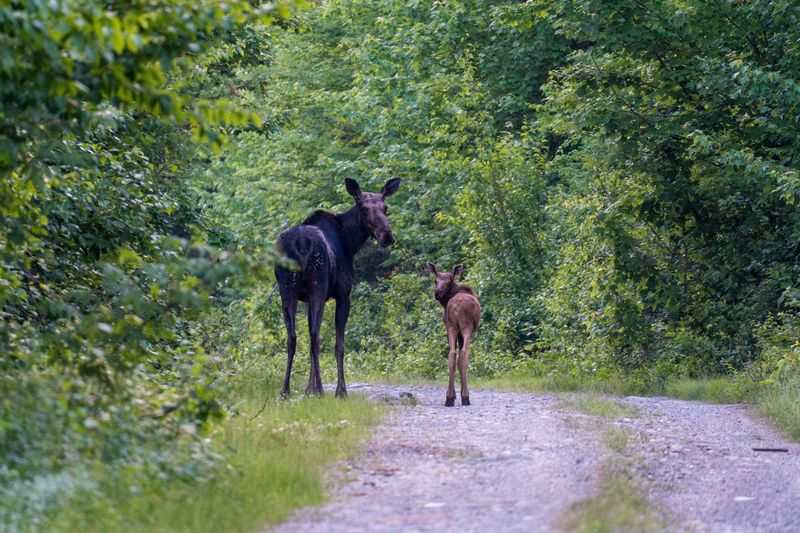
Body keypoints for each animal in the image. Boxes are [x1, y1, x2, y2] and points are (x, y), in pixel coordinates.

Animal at [275, 178, 400, 398]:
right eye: (363, 208)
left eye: (385, 207)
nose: (387, 236)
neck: (351, 241)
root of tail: (300, 244)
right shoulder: (343, 295)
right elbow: (339, 345)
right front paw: (339, 390)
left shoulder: (306, 299)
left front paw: (309, 388)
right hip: (318, 287)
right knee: (315, 337)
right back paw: (321, 389)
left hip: (287, 291)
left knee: (292, 337)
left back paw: (285, 391)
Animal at [424, 263, 480, 406]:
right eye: (435, 280)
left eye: (448, 281)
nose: (437, 293)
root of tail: (456, 307)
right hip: (466, 327)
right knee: (463, 354)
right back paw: (465, 397)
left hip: (451, 326)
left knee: (452, 354)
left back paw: (449, 397)